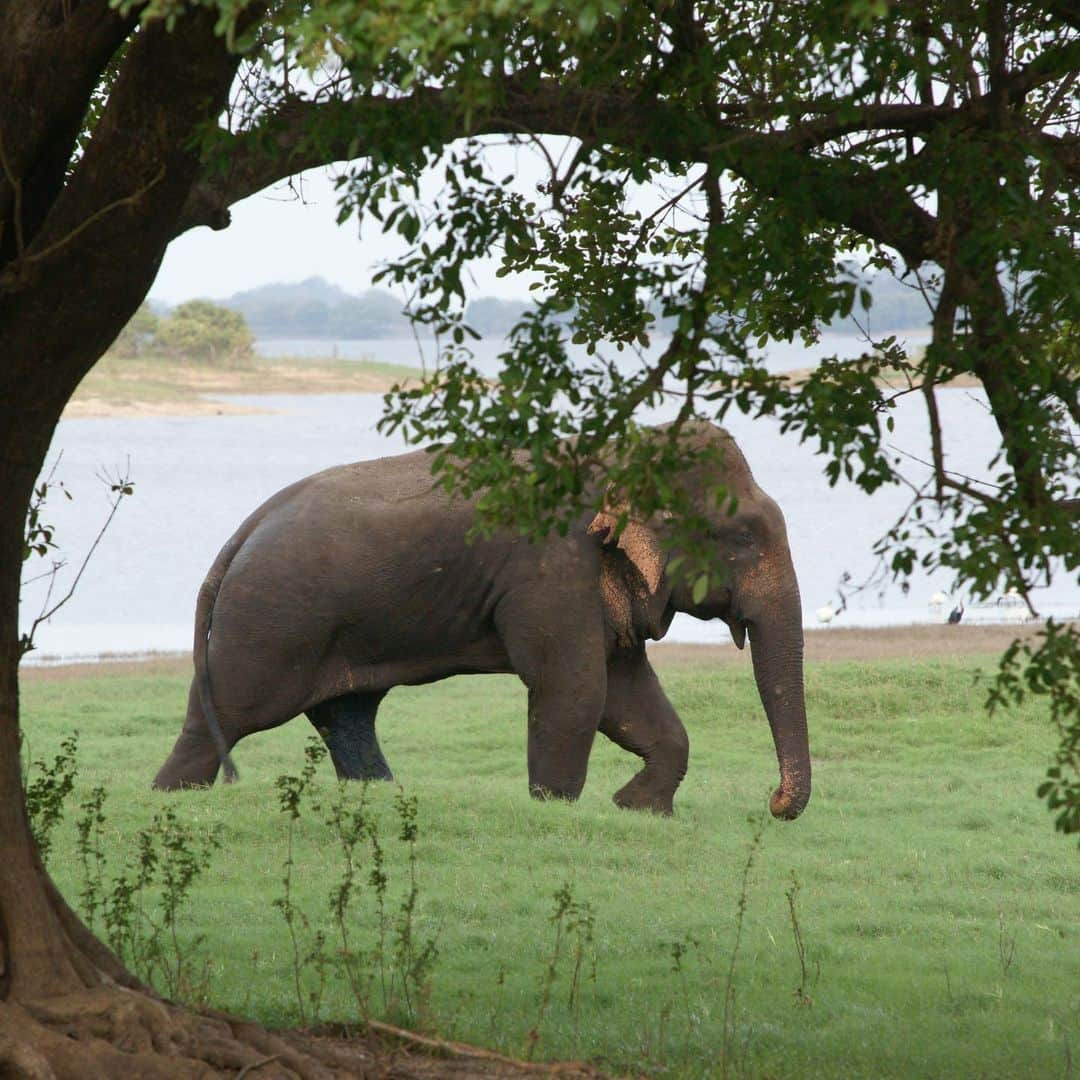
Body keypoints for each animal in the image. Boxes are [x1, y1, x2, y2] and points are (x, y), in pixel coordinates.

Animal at [152, 421, 812, 816]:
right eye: (742, 537)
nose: (773, 802)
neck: (615, 454)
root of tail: (241, 534)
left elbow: (627, 691)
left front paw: (637, 808)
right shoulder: (550, 569)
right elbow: (575, 689)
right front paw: (556, 809)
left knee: (346, 716)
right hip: (270, 622)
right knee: (226, 715)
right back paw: (171, 797)